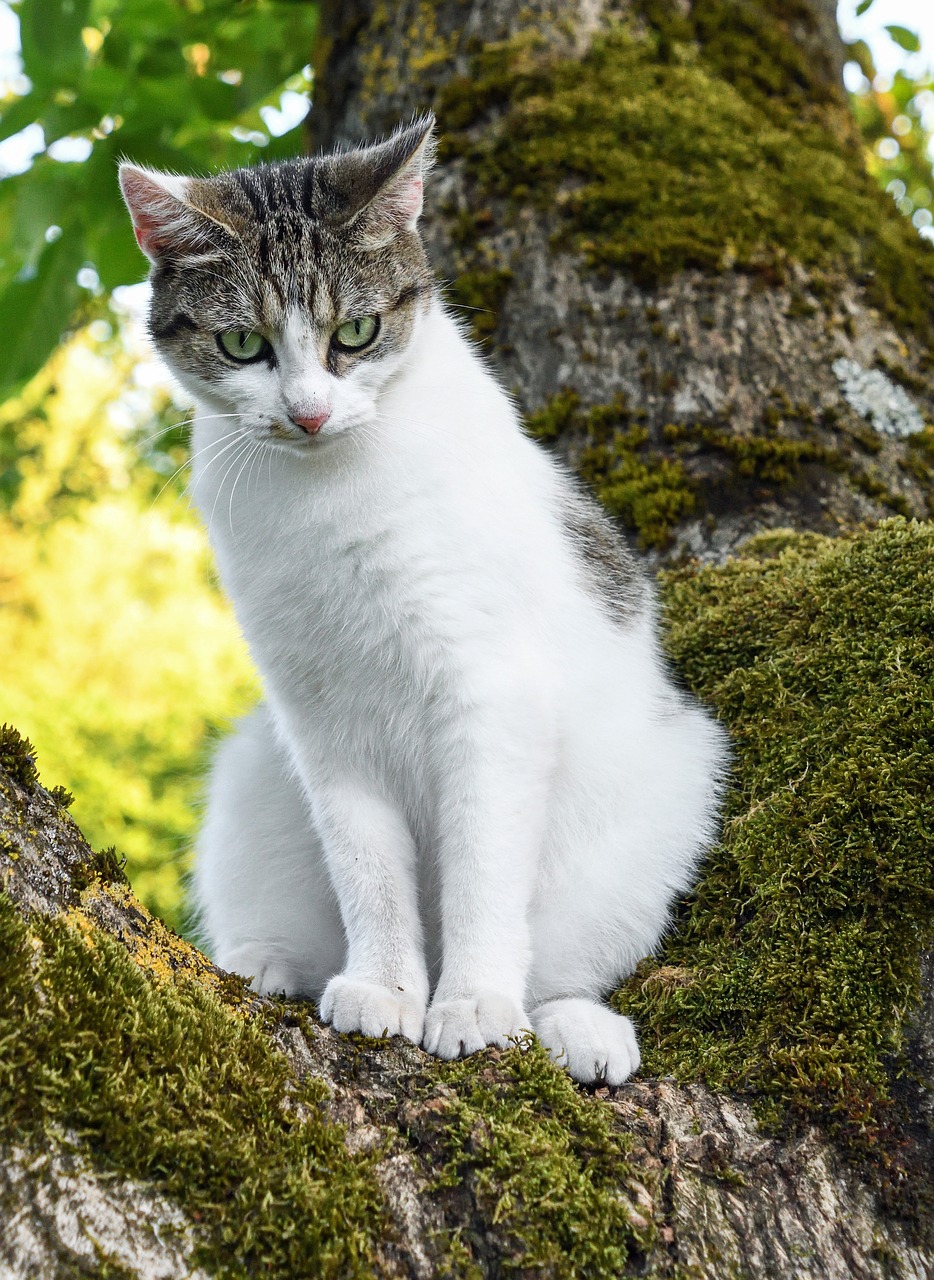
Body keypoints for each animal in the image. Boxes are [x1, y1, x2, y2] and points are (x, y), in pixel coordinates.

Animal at [118, 115, 726, 1085]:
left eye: (356, 332)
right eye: (244, 345)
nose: (308, 413)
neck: (325, 494)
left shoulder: (490, 694)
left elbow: (483, 871)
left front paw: (472, 1003)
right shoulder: (321, 718)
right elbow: (369, 870)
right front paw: (386, 989)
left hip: (661, 795)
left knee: (561, 959)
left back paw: (572, 1026)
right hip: (254, 771)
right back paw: (266, 961)